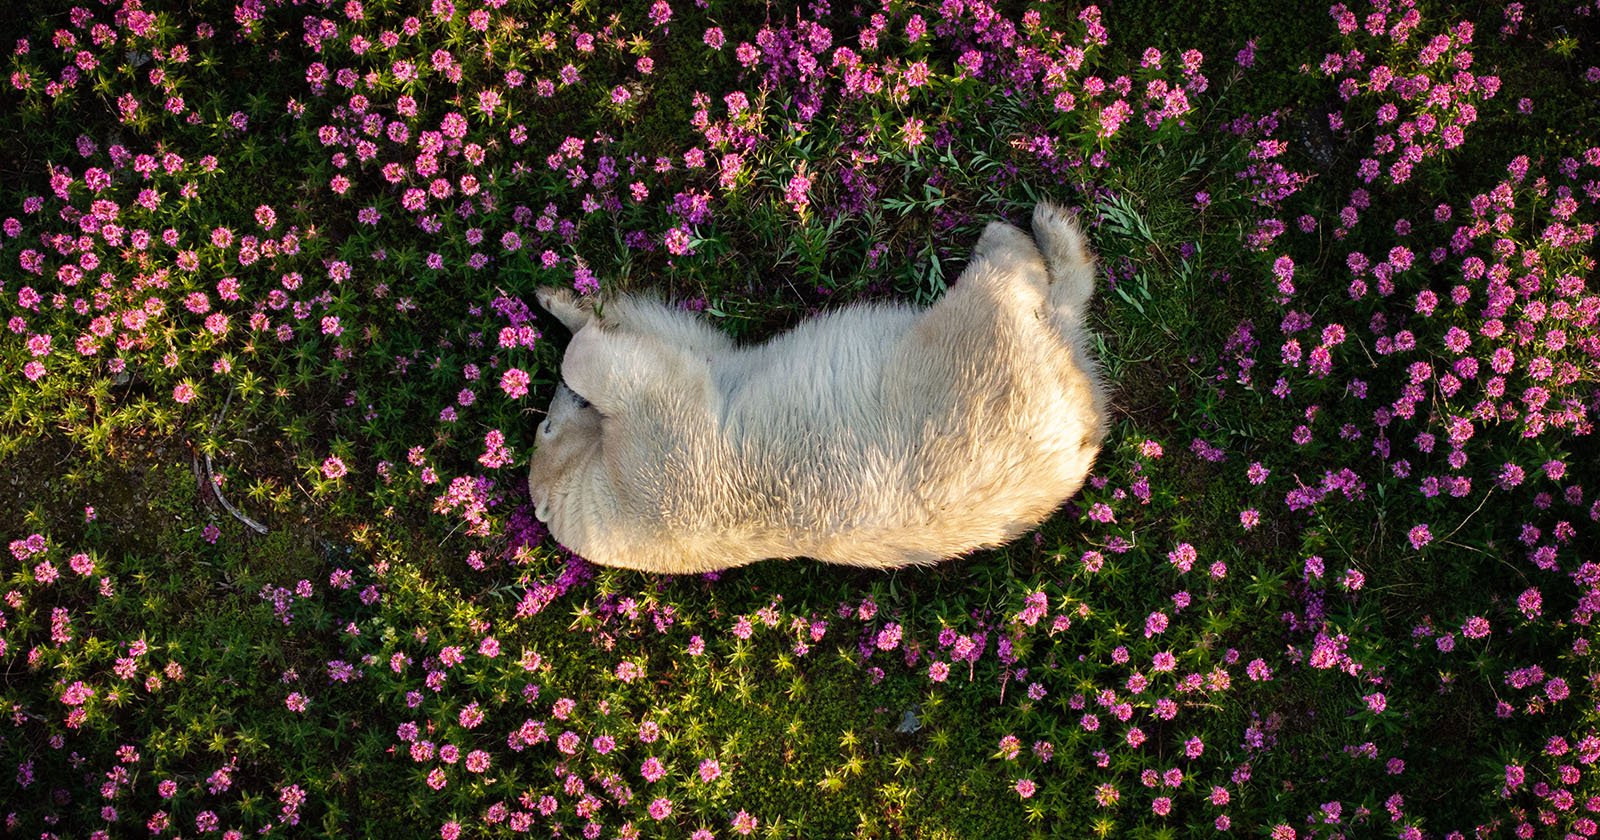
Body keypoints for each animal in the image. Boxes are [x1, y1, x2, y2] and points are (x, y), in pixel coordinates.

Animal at [531, 200, 1107, 572]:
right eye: (545, 428)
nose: (554, 402)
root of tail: (1077, 432)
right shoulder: (660, 471)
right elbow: (640, 367)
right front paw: (573, 322)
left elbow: (687, 340)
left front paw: (560, 301)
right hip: (975, 359)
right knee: (1011, 291)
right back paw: (1027, 232)